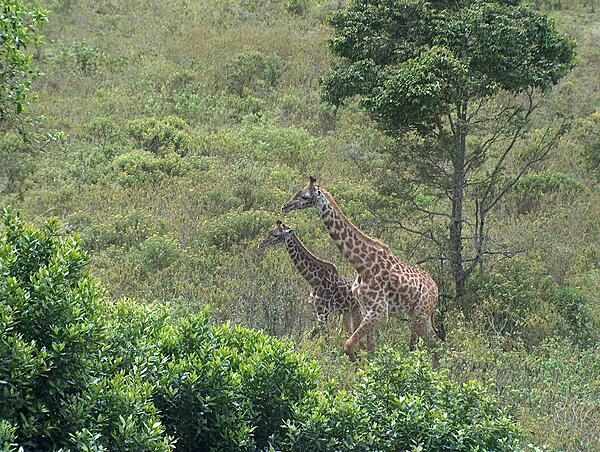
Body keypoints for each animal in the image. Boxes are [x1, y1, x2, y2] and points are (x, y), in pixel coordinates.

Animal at [280, 178, 440, 362]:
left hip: (420, 314)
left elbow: (349, 345)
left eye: (305, 196)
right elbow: (370, 349)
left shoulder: (378, 310)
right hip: (417, 314)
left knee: (430, 345)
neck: (361, 265)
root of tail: (436, 288)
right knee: (433, 345)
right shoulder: (365, 309)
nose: (285, 206)